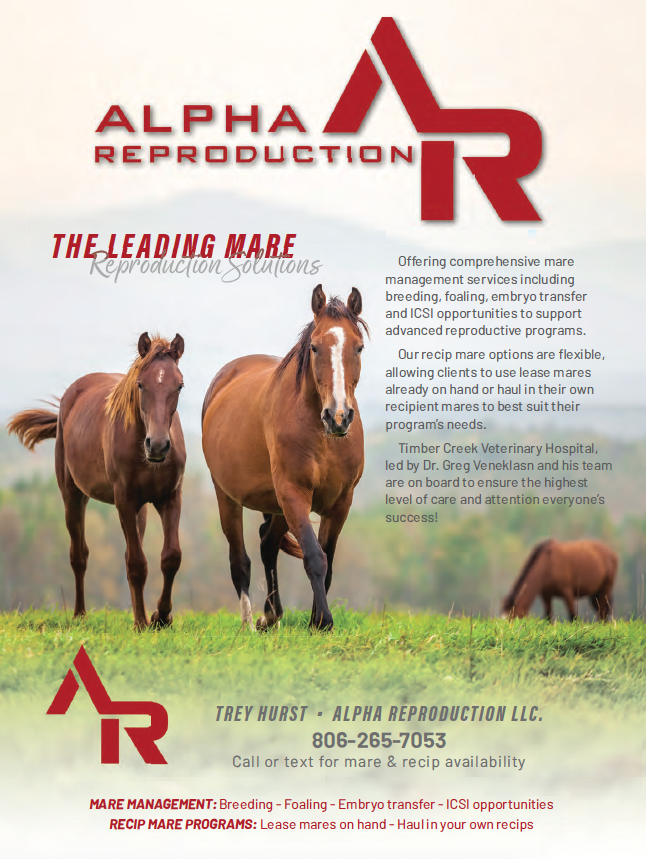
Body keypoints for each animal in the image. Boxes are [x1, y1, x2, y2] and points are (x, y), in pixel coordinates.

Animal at [7, 333, 186, 629]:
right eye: (140, 384)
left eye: (179, 385)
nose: (158, 445)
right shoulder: (124, 501)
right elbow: (136, 564)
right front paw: (142, 623)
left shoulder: (169, 498)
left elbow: (170, 557)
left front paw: (160, 617)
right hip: (73, 496)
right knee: (79, 555)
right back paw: (80, 615)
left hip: (140, 508)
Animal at [202, 285, 367, 631]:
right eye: (315, 347)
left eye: (358, 348)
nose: (339, 416)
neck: (321, 436)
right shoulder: (294, 493)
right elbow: (314, 556)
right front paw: (323, 621)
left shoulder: (341, 502)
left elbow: (327, 559)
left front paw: (316, 619)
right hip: (228, 497)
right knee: (240, 560)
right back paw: (249, 624)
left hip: (276, 505)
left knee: (267, 543)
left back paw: (271, 615)